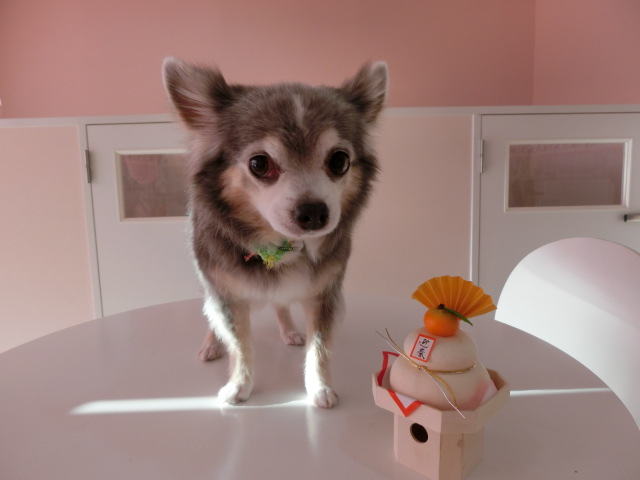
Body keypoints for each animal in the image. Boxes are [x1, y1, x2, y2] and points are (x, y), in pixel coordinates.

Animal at [162, 58, 387, 408]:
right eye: (259, 164)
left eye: (340, 161)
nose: (314, 212)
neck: (279, 246)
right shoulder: (226, 296)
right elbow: (239, 344)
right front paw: (239, 386)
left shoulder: (325, 294)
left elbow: (319, 346)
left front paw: (319, 387)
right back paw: (211, 344)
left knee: (281, 304)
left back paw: (289, 330)